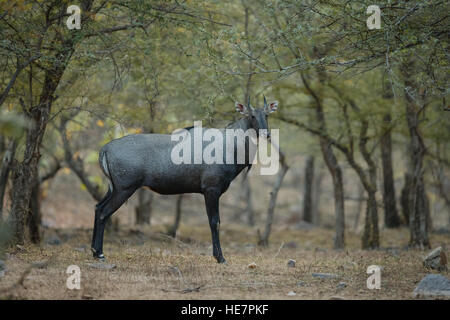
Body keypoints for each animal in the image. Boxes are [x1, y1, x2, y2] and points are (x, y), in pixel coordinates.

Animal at [91, 97, 278, 262]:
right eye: (251, 116)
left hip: (113, 188)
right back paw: (100, 254)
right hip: (124, 188)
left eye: (267, 115)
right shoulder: (211, 189)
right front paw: (220, 257)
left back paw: (94, 251)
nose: (267, 134)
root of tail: (105, 149)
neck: (230, 145)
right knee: (104, 212)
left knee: (98, 207)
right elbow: (214, 222)